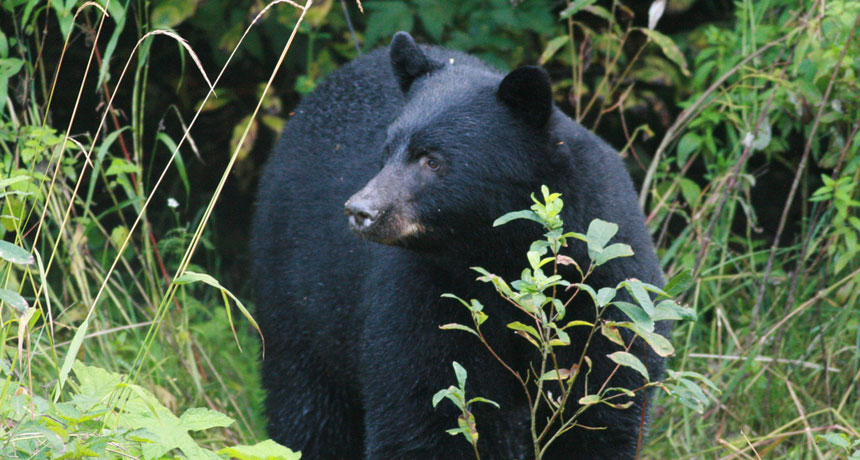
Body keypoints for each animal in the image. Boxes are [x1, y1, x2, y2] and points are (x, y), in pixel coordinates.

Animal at [250, 31, 668, 460]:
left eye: (432, 160)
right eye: (386, 153)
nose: (361, 210)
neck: (499, 249)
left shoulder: (600, 286)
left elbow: (601, 401)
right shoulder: (429, 291)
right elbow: (425, 403)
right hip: (299, 295)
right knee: (308, 405)